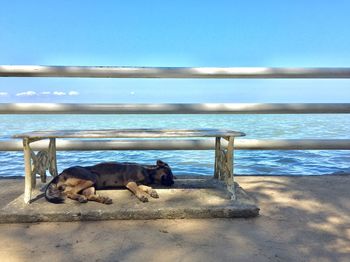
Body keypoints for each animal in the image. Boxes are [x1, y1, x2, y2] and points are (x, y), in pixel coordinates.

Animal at [44, 160, 174, 205]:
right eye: (169, 172)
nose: (173, 182)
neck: (147, 170)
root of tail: (61, 173)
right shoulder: (130, 182)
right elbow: (137, 189)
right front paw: (142, 196)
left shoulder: (139, 183)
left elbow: (146, 187)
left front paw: (152, 191)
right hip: (90, 178)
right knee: (69, 192)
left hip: (92, 184)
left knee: (88, 195)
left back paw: (103, 199)